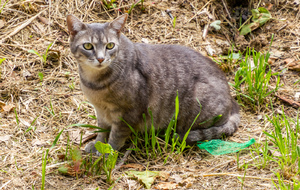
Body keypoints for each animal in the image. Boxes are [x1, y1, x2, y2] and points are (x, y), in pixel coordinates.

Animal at [67, 13, 240, 153]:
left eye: (110, 46)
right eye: (88, 46)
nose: (101, 58)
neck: (95, 84)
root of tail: (231, 100)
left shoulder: (127, 115)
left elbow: (115, 138)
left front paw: (106, 153)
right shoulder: (101, 112)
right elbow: (101, 131)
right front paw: (97, 145)